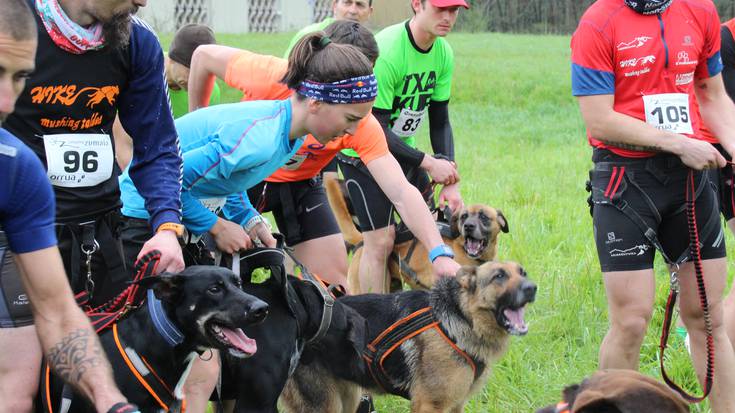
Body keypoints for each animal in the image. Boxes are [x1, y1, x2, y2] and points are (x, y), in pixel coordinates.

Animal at [280, 260, 536, 412]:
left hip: (347, 398)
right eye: (499, 276)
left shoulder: (455, 405)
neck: (462, 316)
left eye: (522, 273)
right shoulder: (430, 405)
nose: (532, 287)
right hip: (324, 404)